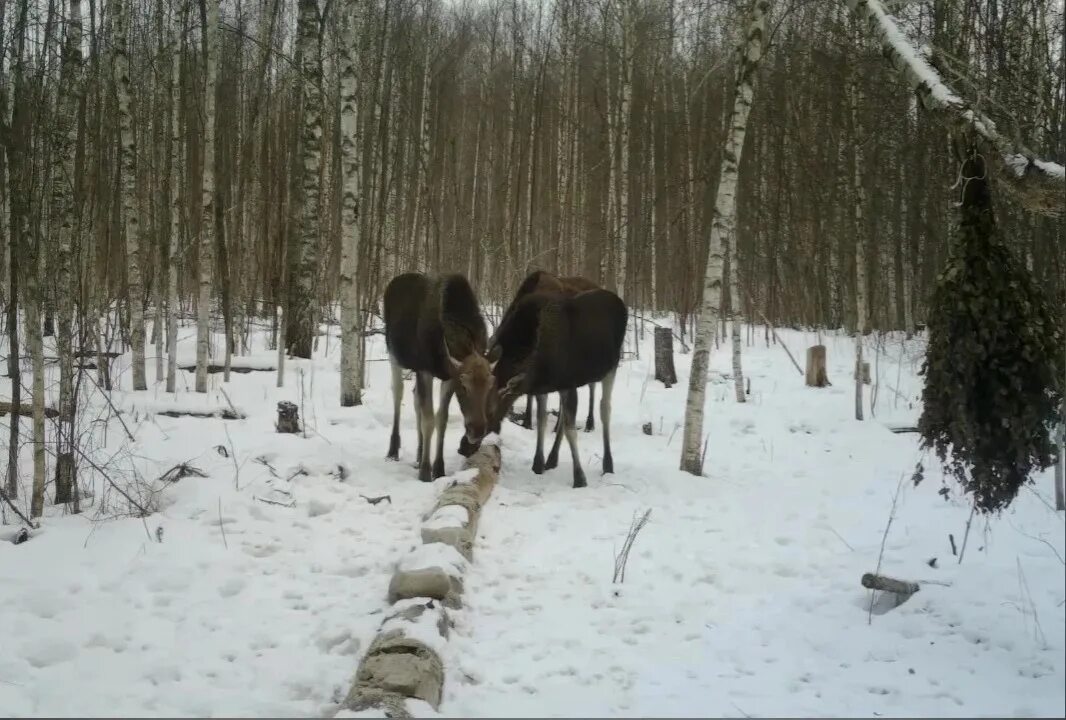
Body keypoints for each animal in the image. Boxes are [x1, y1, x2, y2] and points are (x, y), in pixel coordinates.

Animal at [383, 273, 498, 482]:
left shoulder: (448, 377)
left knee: (415, 398)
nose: (477, 430)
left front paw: (438, 468)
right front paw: (425, 471)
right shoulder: (426, 370)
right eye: (464, 385)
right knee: (398, 393)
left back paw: (420, 452)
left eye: (490, 385)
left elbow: (441, 419)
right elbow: (429, 420)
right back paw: (393, 450)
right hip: (393, 354)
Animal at [488, 281, 626, 490]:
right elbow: (543, 420)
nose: (469, 439)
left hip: (611, 367)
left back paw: (608, 464)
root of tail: (620, 302)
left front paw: (579, 478)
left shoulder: (567, 384)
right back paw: (552, 459)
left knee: (605, 408)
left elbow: (570, 429)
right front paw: (538, 463)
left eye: (492, 403)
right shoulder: (547, 387)